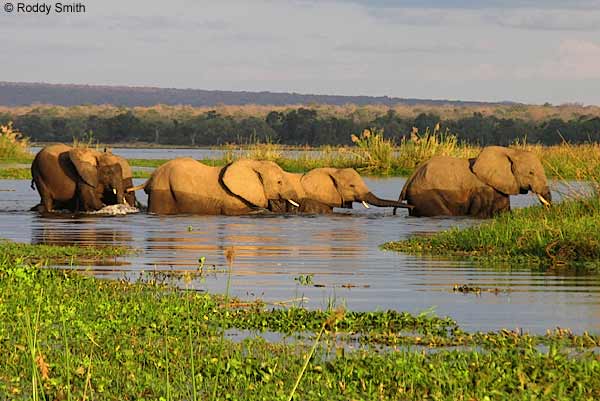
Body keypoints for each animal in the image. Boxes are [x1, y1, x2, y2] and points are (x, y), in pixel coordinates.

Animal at [398, 145, 552, 217]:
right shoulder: (482, 190)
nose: (548, 209)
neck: (511, 151)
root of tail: (410, 177)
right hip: (425, 196)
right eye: (531, 173)